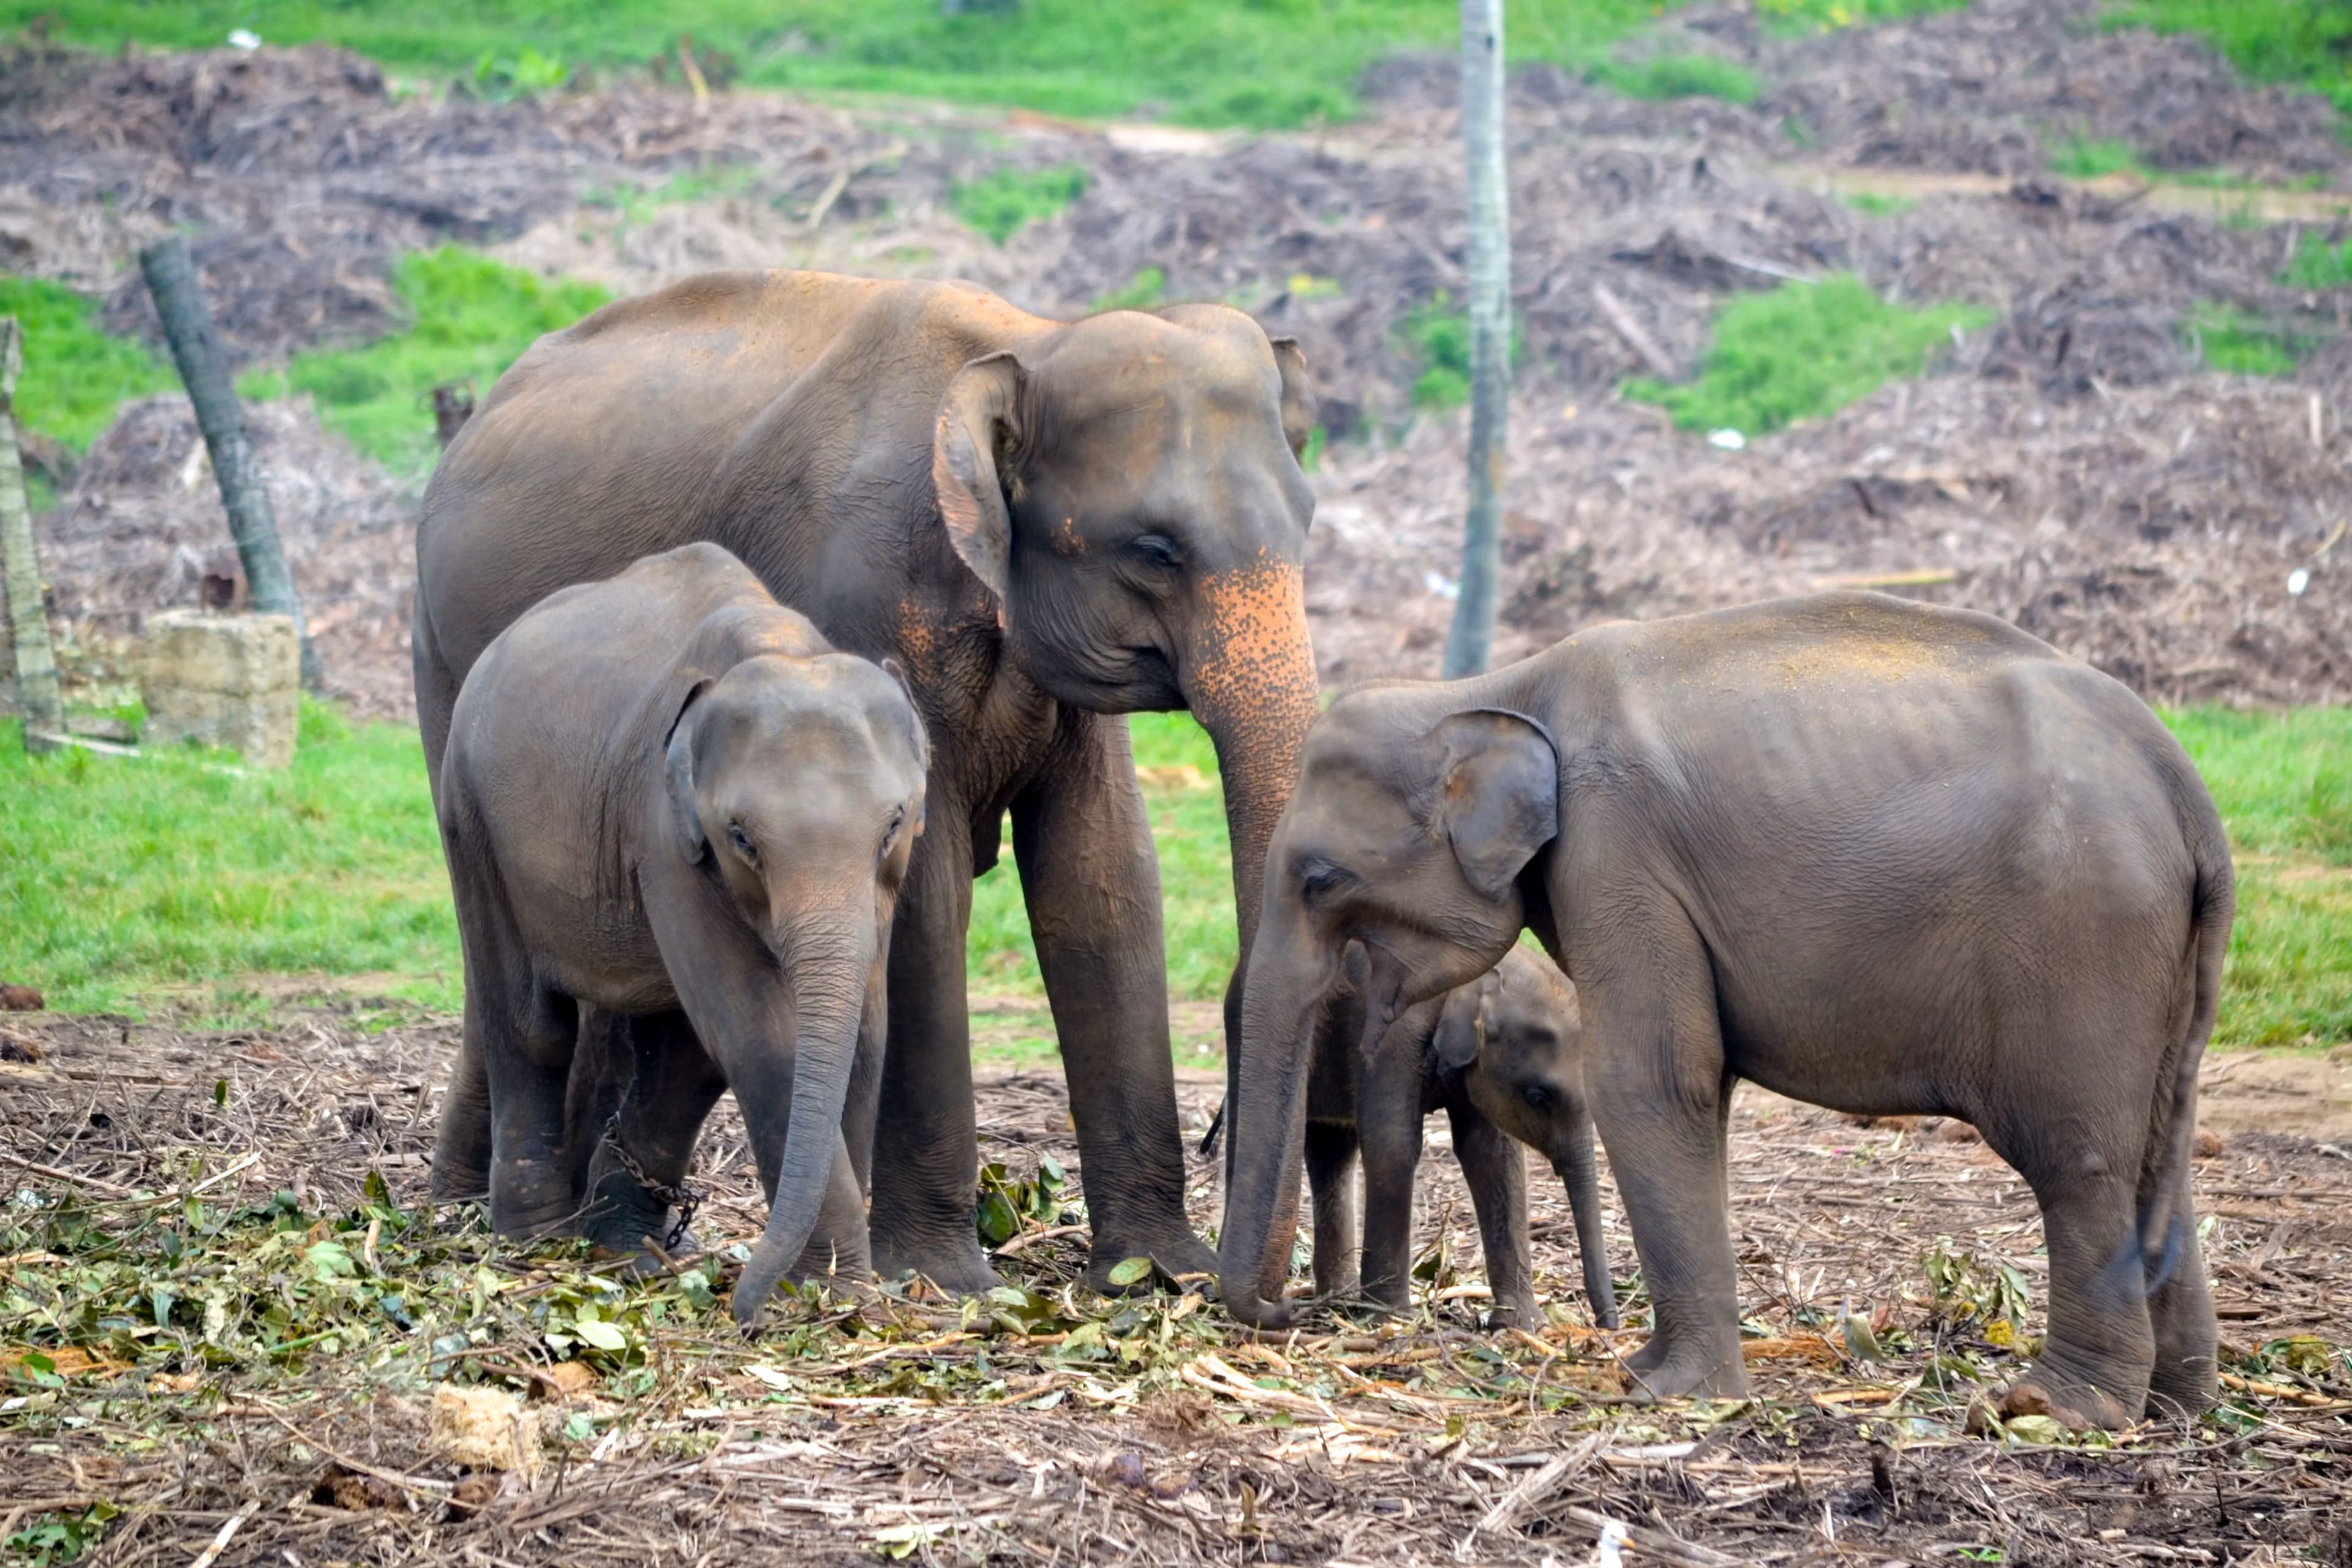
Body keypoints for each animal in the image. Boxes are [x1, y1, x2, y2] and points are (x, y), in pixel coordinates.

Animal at [435, 544, 929, 1324]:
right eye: (742, 838)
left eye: (893, 823)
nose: (743, 1307)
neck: (783, 646)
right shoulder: (663, 834)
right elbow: (761, 1035)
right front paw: (836, 1291)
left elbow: (866, 1033)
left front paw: (834, 1290)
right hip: (469, 814)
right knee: (532, 1023)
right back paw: (536, 1239)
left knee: (676, 1047)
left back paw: (626, 1244)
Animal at [1303, 944, 1619, 1331]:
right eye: (1538, 1097)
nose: (1607, 1324)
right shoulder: (1388, 1039)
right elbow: (1392, 1143)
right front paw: (1389, 1319)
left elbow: (1493, 1156)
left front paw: (1521, 1326)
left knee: (1329, 1147)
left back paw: (1339, 1300)